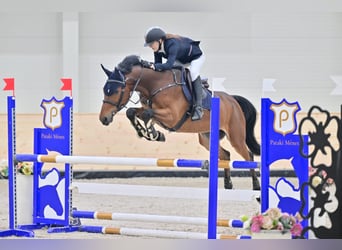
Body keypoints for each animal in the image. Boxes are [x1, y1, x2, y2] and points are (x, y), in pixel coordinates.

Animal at [99, 54, 262, 189]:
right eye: (104, 90)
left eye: (115, 91)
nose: (103, 118)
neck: (156, 85)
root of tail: (233, 100)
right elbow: (132, 112)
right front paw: (150, 133)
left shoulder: (173, 117)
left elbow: (147, 114)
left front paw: (152, 133)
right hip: (206, 137)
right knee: (225, 155)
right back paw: (228, 184)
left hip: (235, 136)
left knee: (248, 156)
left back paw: (256, 186)